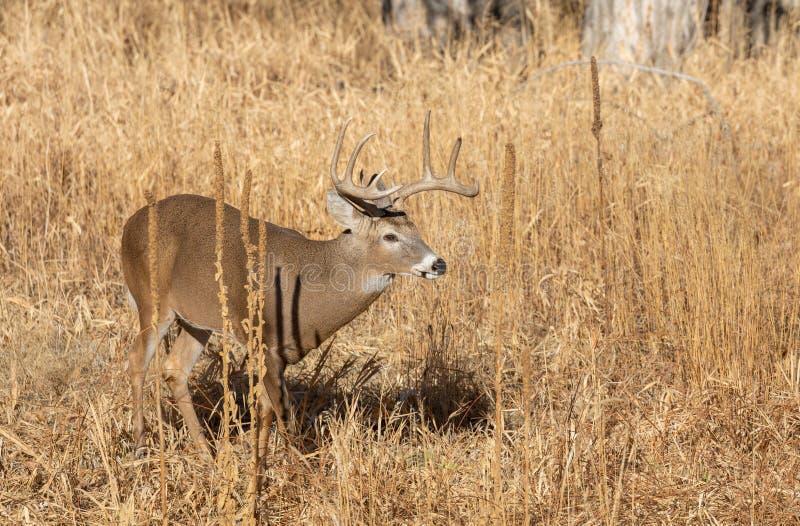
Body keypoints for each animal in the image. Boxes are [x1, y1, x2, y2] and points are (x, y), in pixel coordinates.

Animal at [122, 110, 478, 462]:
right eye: (390, 236)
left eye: (416, 229)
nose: (438, 264)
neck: (312, 288)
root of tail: (129, 225)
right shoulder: (265, 340)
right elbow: (282, 412)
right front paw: (296, 465)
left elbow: (267, 409)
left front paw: (262, 459)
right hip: (151, 299)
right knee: (138, 359)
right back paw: (140, 443)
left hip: (196, 319)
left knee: (174, 368)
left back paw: (206, 453)